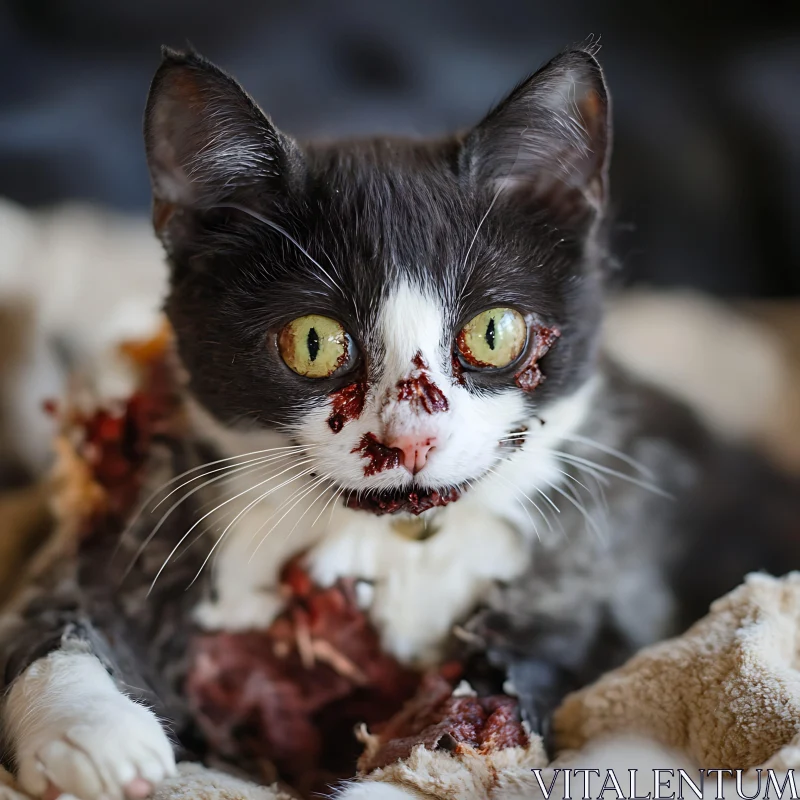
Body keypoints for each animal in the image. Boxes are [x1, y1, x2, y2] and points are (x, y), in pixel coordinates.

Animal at [1, 42, 800, 800]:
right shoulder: (154, 512)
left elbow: (501, 720)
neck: (394, 542)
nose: (411, 437)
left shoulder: (608, 583)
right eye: (313, 341)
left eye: (493, 332)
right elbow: (44, 613)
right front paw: (94, 737)